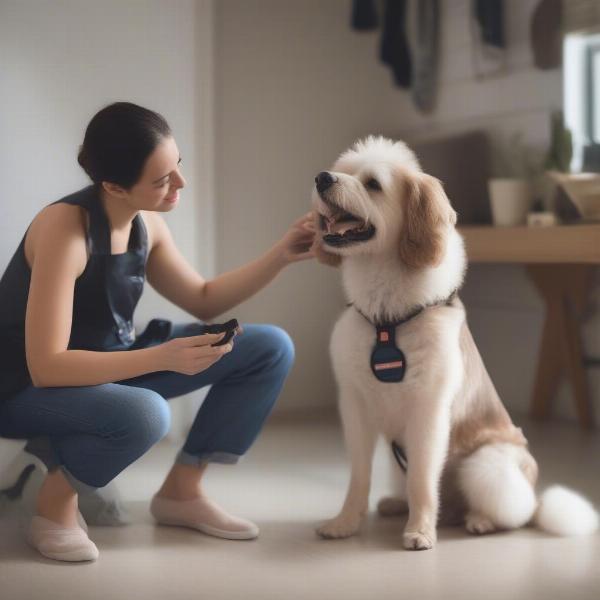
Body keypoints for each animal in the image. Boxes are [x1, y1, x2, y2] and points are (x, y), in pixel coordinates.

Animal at [312, 138, 596, 552]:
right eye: (343, 171)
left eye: (373, 184)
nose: (322, 178)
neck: (386, 318)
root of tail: (535, 494)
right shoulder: (355, 407)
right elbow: (358, 477)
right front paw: (344, 523)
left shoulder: (428, 410)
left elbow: (422, 482)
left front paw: (420, 531)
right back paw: (397, 504)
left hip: (486, 464)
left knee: (513, 514)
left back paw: (478, 520)